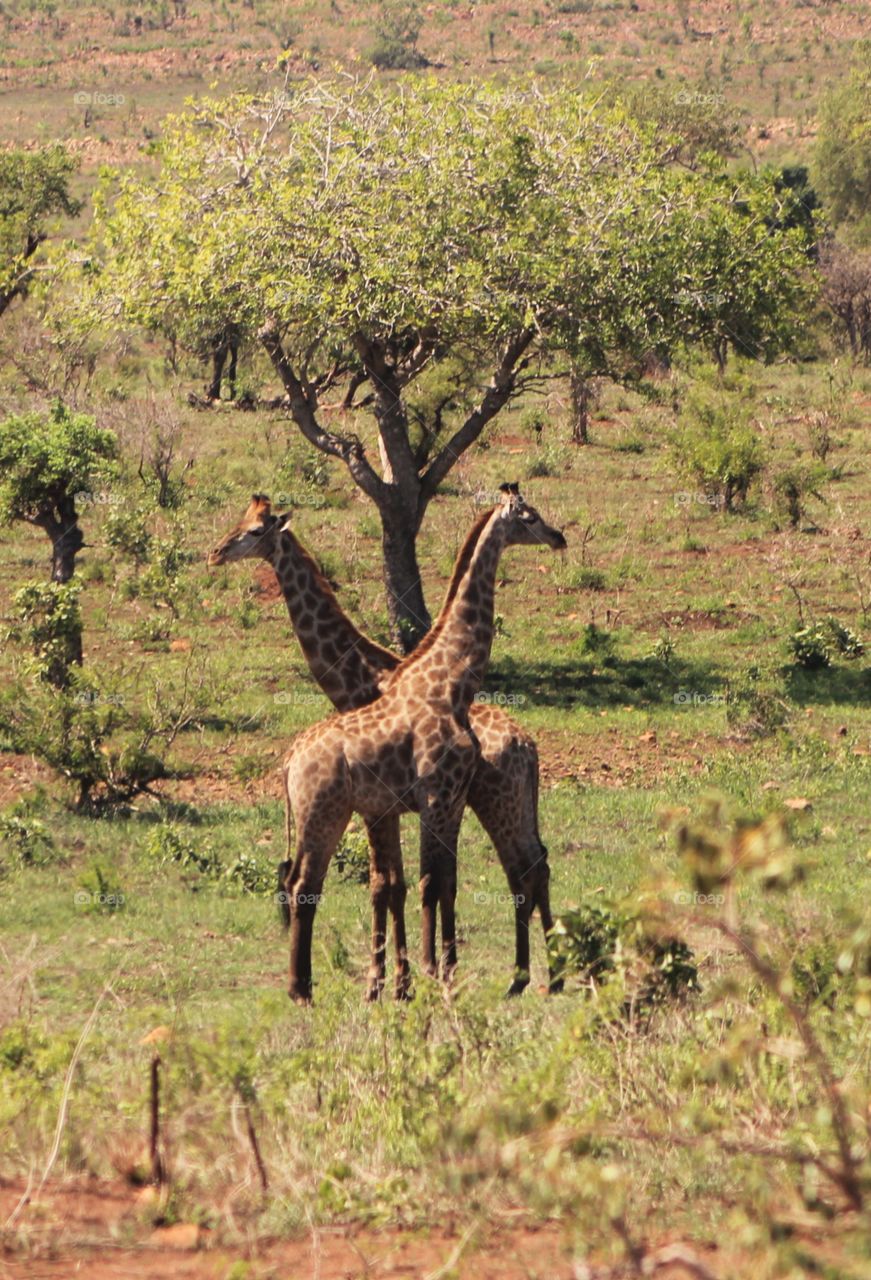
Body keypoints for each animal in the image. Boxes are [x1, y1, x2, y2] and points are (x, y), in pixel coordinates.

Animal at [209, 494, 566, 997]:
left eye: (256, 530)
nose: (216, 553)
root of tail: (527, 743)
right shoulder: (402, 806)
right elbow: (400, 884)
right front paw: (402, 979)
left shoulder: (418, 804)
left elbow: (410, 883)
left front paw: (408, 978)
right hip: (493, 802)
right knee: (529, 867)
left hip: (499, 800)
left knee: (528, 868)